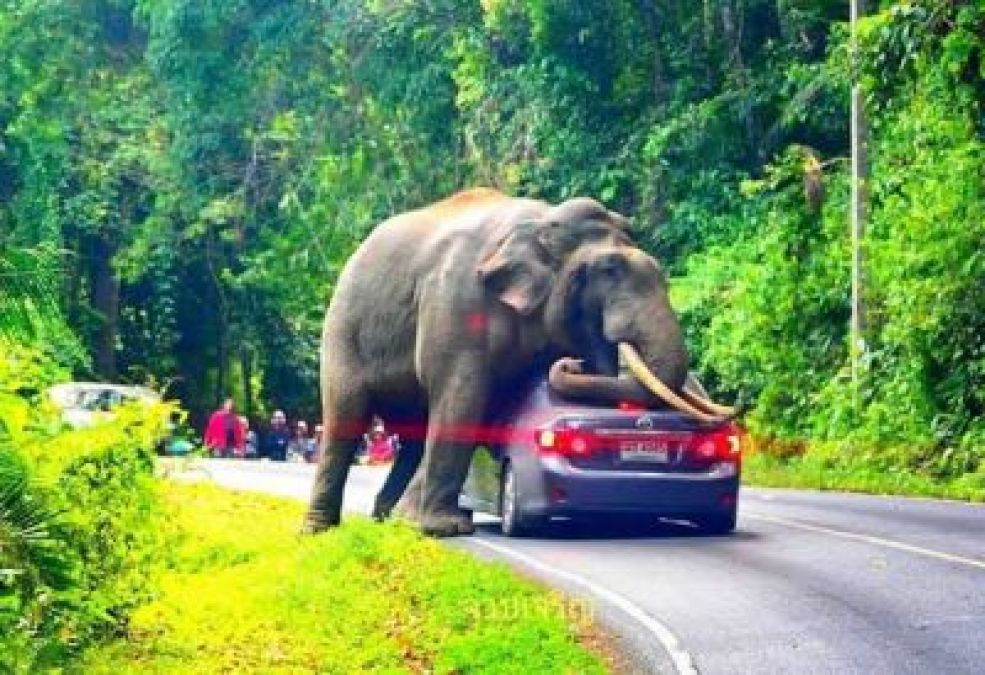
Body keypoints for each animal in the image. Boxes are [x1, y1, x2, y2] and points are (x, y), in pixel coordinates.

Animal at [304, 187, 736, 536]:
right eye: (609, 270)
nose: (571, 362)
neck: (541, 221)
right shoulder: (457, 302)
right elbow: (463, 398)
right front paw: (446, 530)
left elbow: (482, 407)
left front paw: (422, 524)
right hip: (343, 329)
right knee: (346, 413)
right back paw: (320, 530)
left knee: (412, 433)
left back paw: (387, 520)